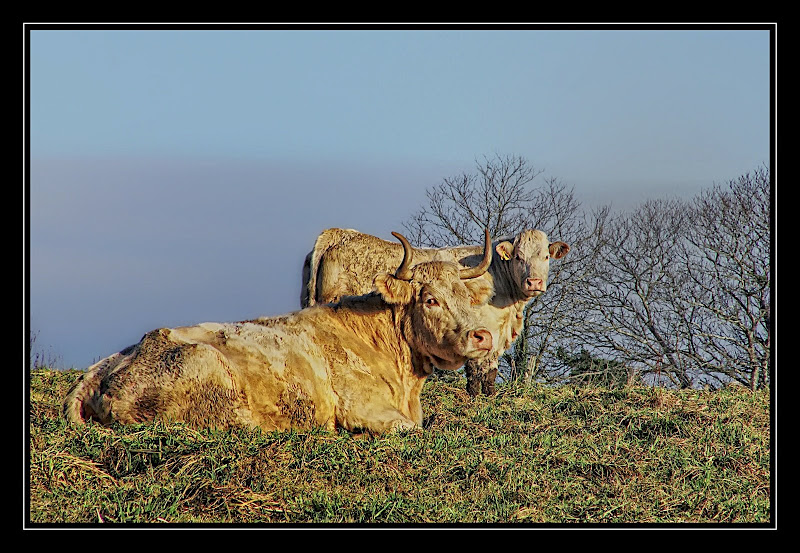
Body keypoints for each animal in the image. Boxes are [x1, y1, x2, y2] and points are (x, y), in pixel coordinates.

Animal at [300, 226, 568, 394]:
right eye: (518, 257)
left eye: (546, 257)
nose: (534, 282)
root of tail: (338, 233)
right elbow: (479, 367)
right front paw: (479, 396)